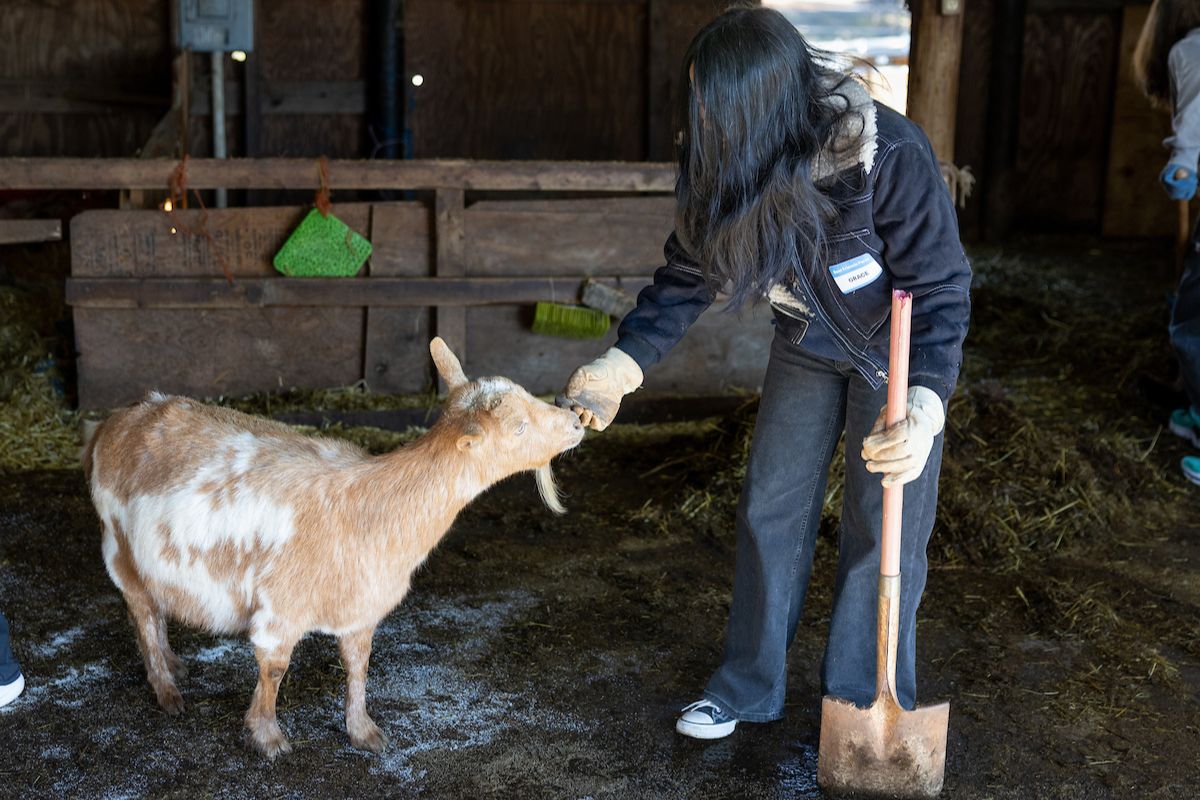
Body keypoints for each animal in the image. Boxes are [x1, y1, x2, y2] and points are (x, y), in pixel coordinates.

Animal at [82, 335, 583, 758]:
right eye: (518, 427)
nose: (577, 420)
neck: (374, 506)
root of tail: (120, 419)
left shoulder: (363, 608)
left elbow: (358, 666)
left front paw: (363, 731)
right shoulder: (279, 612)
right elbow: (274, 671)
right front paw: (268, 737)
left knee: (156, 608)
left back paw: (173, 665)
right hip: (118, 546)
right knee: (142, 611)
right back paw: (166, 689)